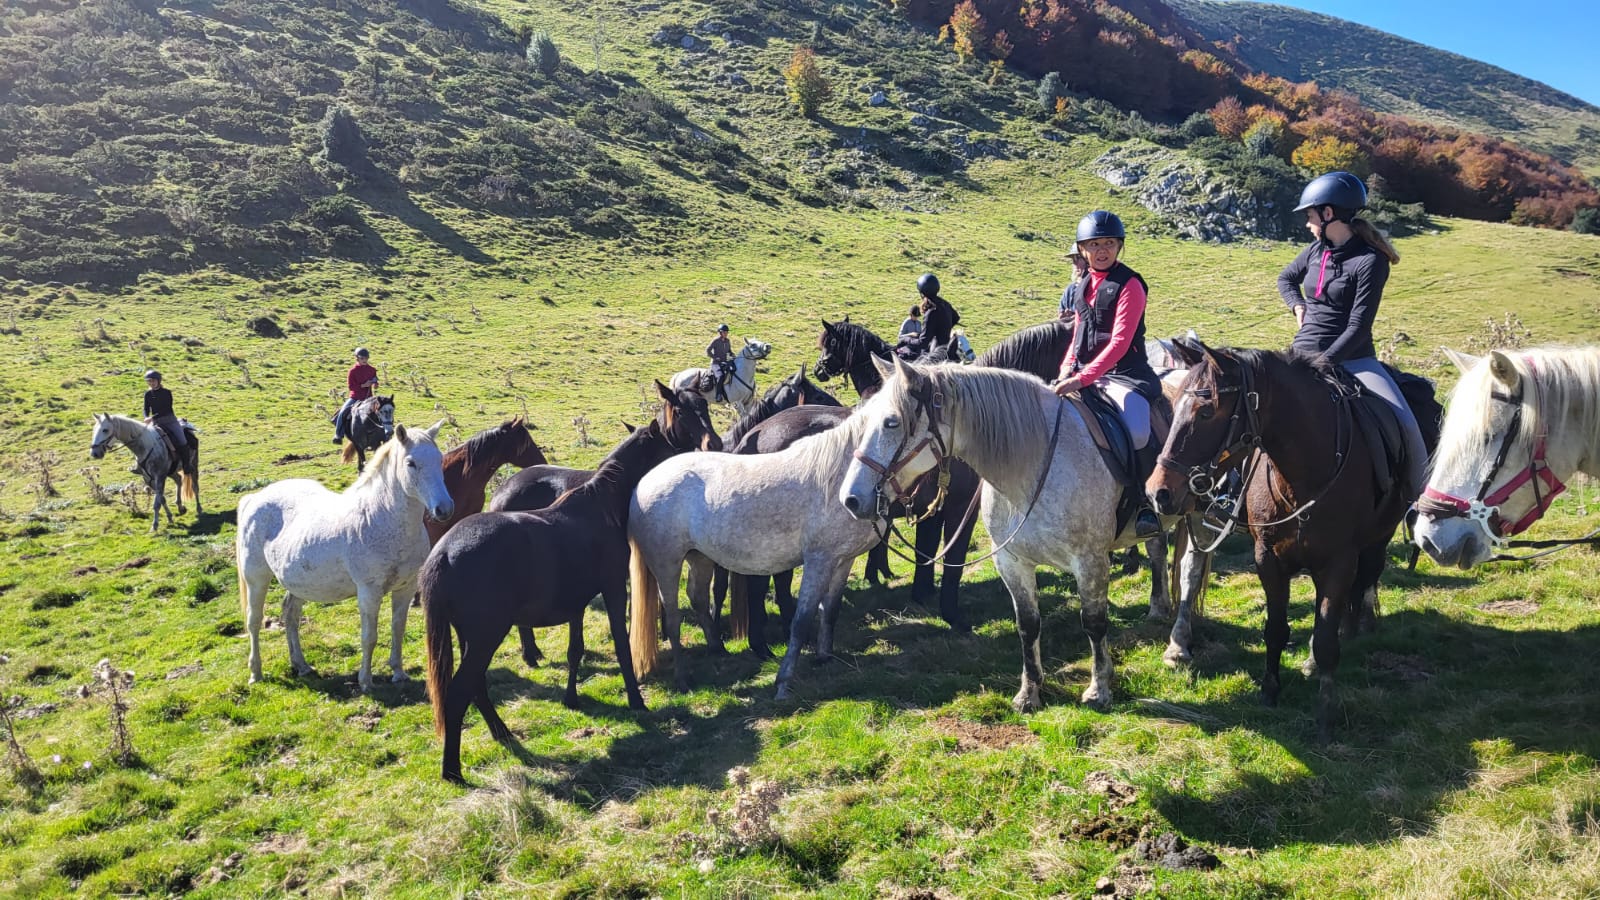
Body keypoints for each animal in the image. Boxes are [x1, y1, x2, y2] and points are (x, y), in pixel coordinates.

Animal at [236, 421, 453, 692]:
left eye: (439, 458)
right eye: (411, 463)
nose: (444, 509)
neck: (381, 518)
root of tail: (254, 499)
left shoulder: (406, 588)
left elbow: (398, 629)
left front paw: (398, 673)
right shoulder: (369, 592)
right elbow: (369, 637)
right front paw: (366, 682)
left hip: (298, 584)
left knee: (290, 616)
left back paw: (302, 666)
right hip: (257, 579)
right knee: (254, 622)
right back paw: (255, 673)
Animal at [839, 358, 1187, 714]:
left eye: (891, 422)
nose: (850, 499)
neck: (1033, 467)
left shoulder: (1090, 562)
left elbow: (1093, 622)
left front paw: (1099, 688)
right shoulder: (1012, 562)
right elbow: (1028, 625)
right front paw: (1029, 692)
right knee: (1157, 549)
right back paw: (1159, 607)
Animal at [1147, 341, 1441, 740]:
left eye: (1206, 411)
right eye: (1174, 403)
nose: (1158, 492)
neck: (1304, 476)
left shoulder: (1338, 562)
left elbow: (1328, 634)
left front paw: (1325, 713)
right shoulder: (1268, 559)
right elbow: (1275, 629)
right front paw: (1270, 690)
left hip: (1377, 537)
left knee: (1367, 578)